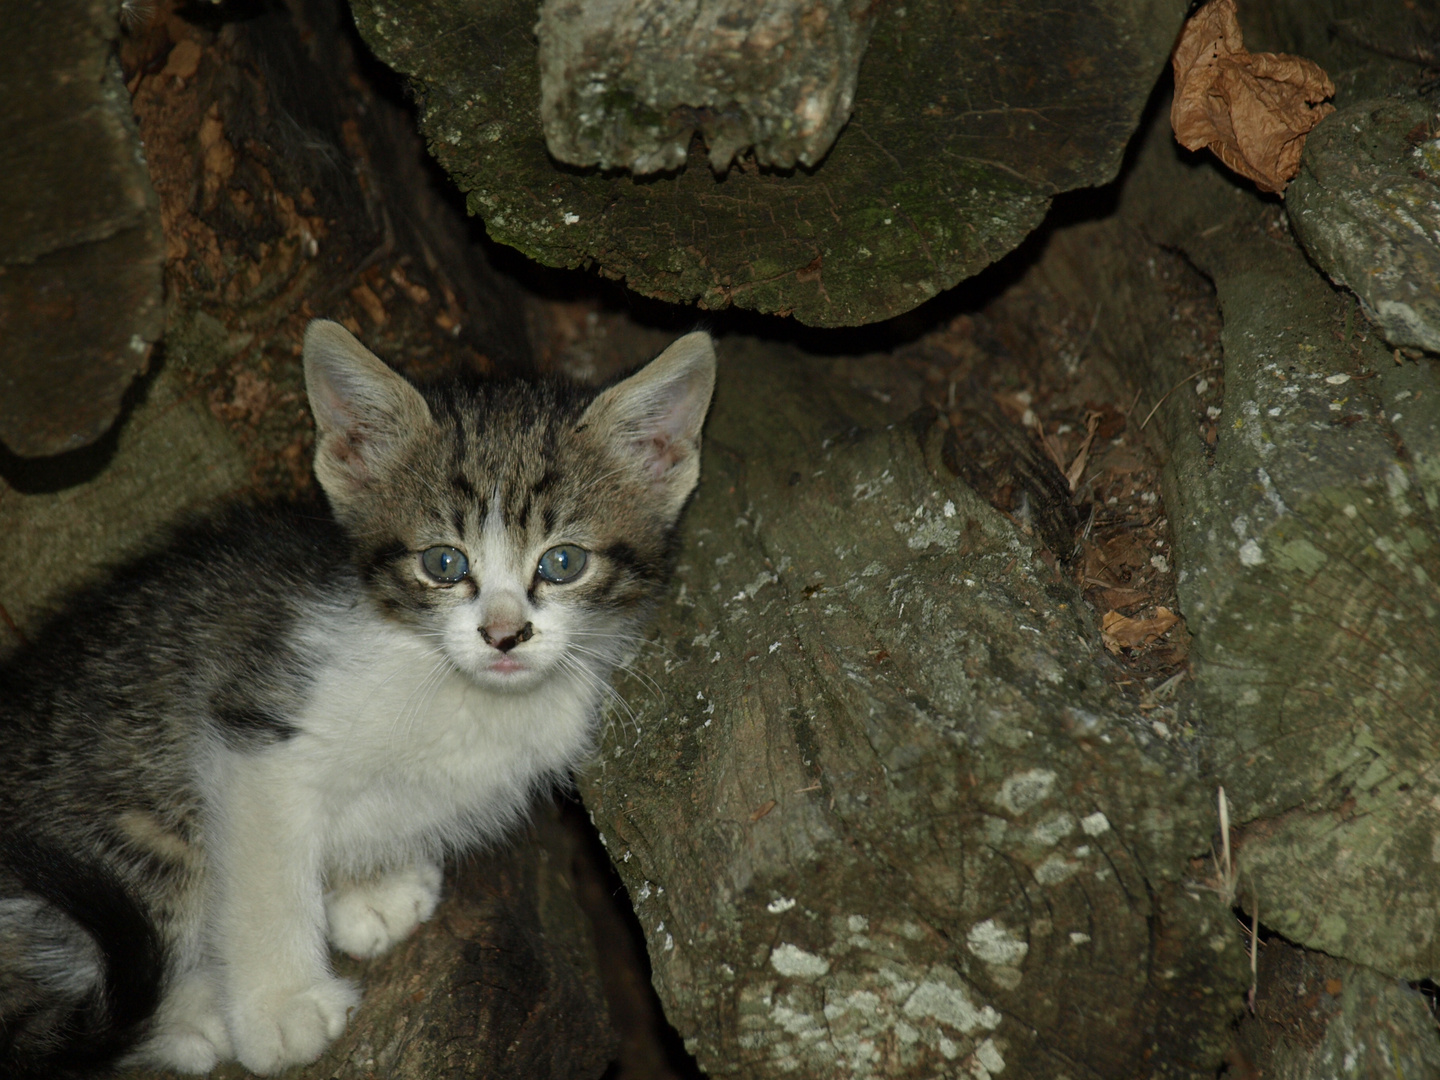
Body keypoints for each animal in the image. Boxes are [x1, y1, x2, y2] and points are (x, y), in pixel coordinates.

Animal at [0, 319, 717, 1077]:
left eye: (563, 561)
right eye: (444, 563)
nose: (504, 634)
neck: (453, 685)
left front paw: (369, 888)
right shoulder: (257, 723)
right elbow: (264, 870)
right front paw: (280, 1007)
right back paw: (190, 1015)